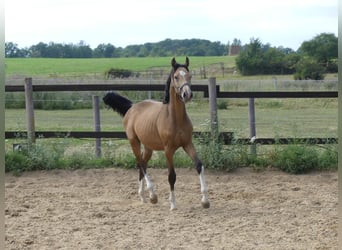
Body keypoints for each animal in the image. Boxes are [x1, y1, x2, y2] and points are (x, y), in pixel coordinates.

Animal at [104, 57, 210, 211]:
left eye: (189, 76)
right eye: (176, 77)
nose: (187, 94)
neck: (174, 118)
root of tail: (132, 107)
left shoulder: (187, 144)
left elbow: (199, 165)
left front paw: (205, 201)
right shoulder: (168, 150)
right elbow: (172, 175)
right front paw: (173, 204)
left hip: (148, 147)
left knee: (142, 165)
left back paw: (143, 197)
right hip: (134, 141)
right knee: (141, 163)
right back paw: (153, 195)